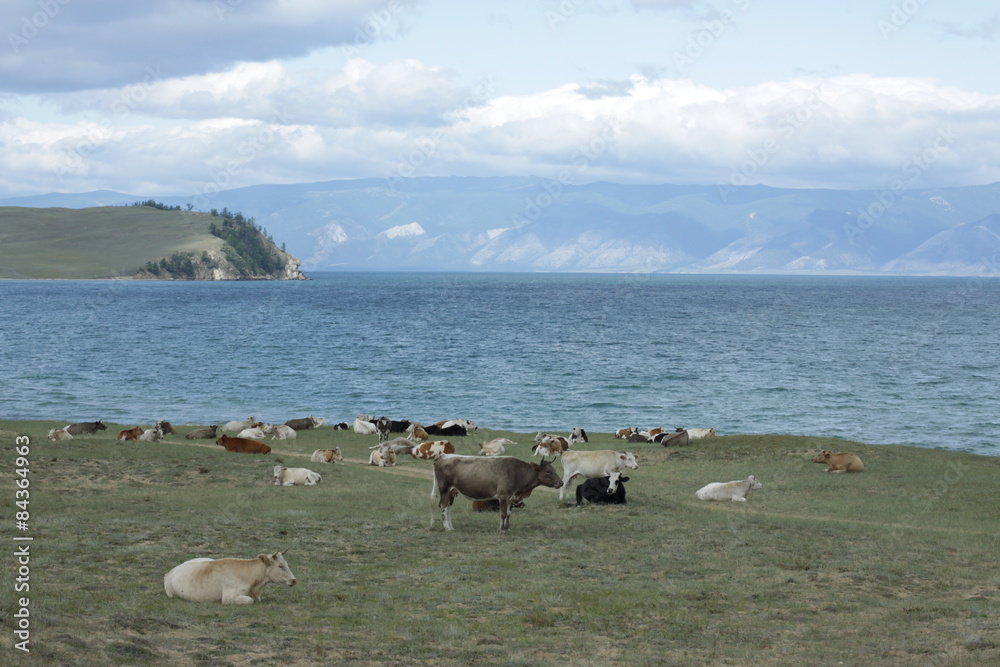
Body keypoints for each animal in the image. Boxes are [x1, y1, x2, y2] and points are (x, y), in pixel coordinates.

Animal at [432, 455, 563, 532]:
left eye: (555, 469)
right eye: (548, 471)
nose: (561, 482)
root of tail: (442, 456)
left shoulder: (511, 497)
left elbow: (508, 514)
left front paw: (507, 529)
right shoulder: (503, 495)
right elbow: (503, 514)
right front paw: (501, 530)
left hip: (452, 491)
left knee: (448, 508)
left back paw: (451, 527)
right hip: (444, 489)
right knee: (443, 506)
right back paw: (447, 527)